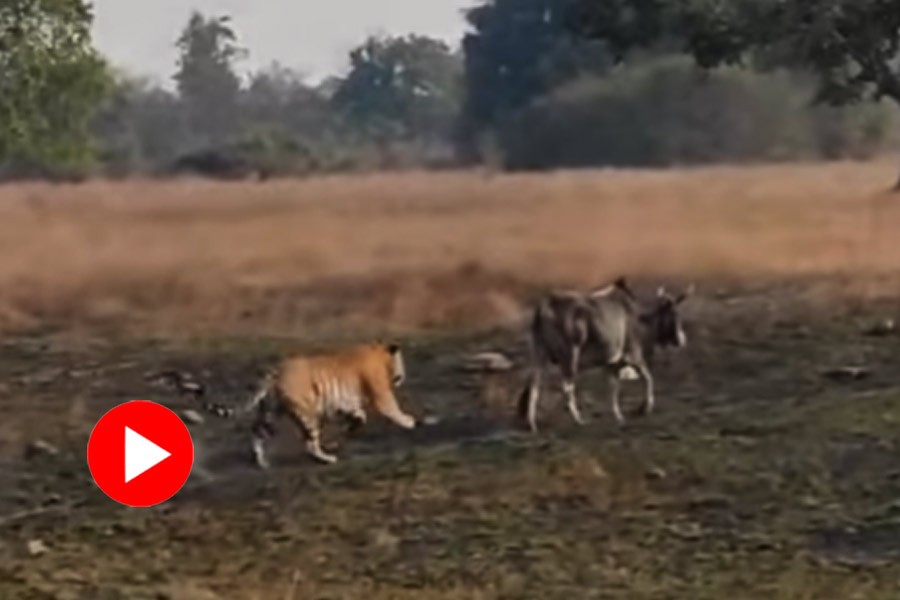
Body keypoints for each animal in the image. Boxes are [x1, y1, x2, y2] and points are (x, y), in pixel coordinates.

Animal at [193, 341, 416, 468]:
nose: (402, 377)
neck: (380, 354)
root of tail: (275, 371)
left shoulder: (348, 404)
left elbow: (360, 417)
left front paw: (349, 429)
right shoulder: (382, 395)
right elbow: (392, 409)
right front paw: (410, 422)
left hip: (270, 414)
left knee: (256, 433)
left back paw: (262, 462)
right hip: (308, 414)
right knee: (309, 444)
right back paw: (327, 458)